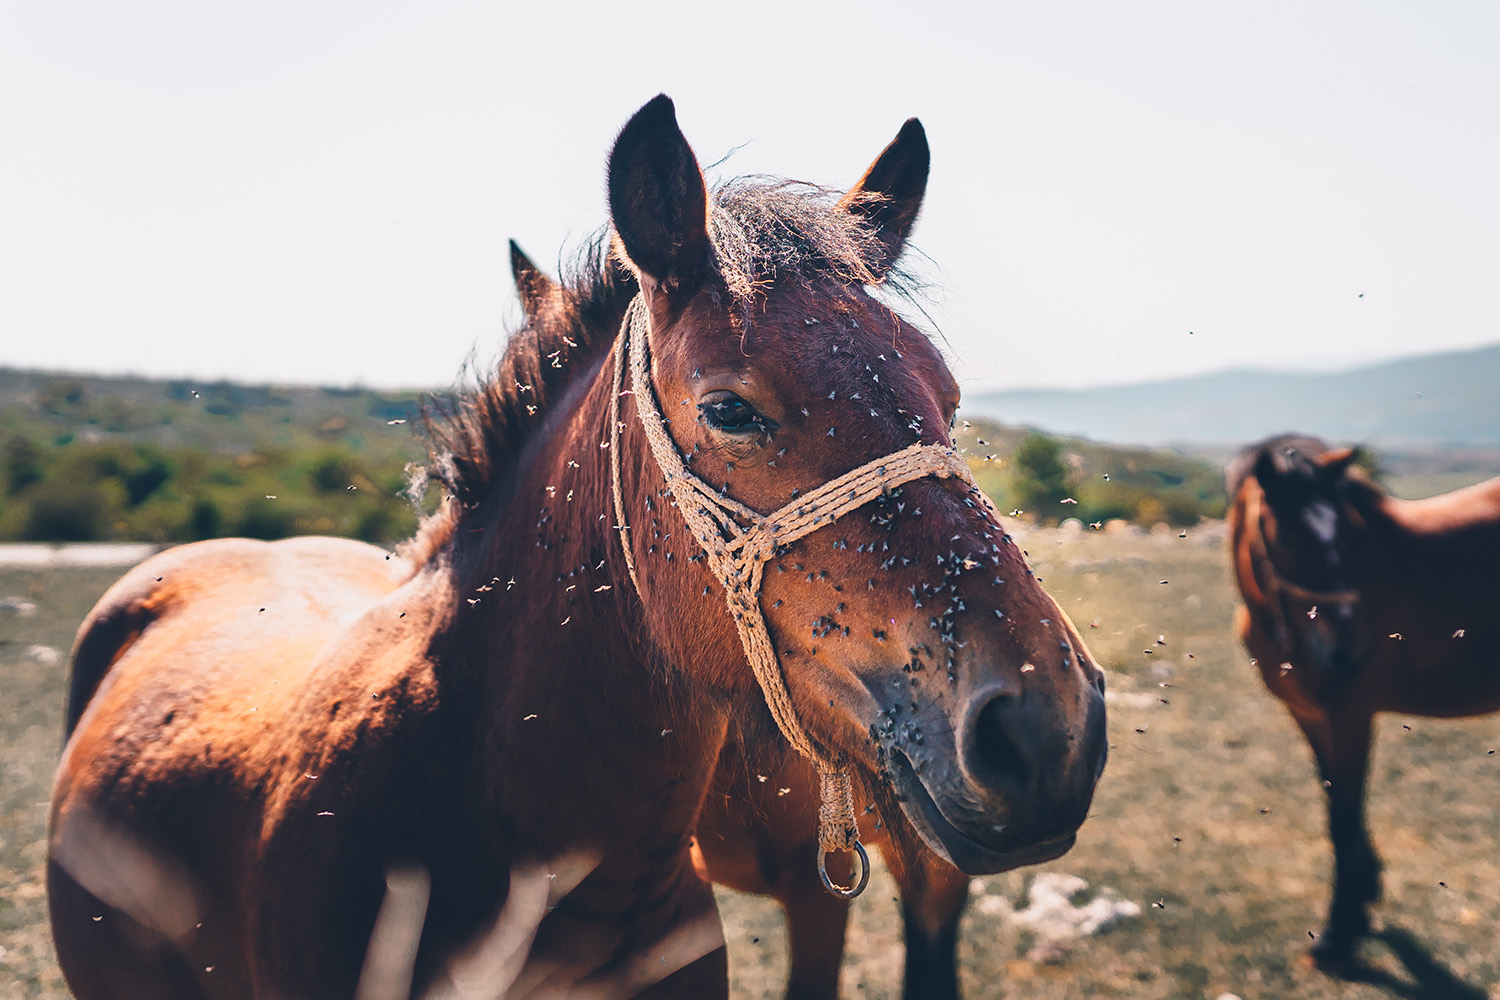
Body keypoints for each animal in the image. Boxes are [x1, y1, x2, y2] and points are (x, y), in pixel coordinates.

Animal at [1230, 434, 1500, 971]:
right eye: (1286, 538)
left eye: (1340, 538)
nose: (1350, 650)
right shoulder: (1310, 714)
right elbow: (1337, 803)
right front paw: (1363, 898)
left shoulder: (1350, 714)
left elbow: (1345, 816)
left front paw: (1339, 933)